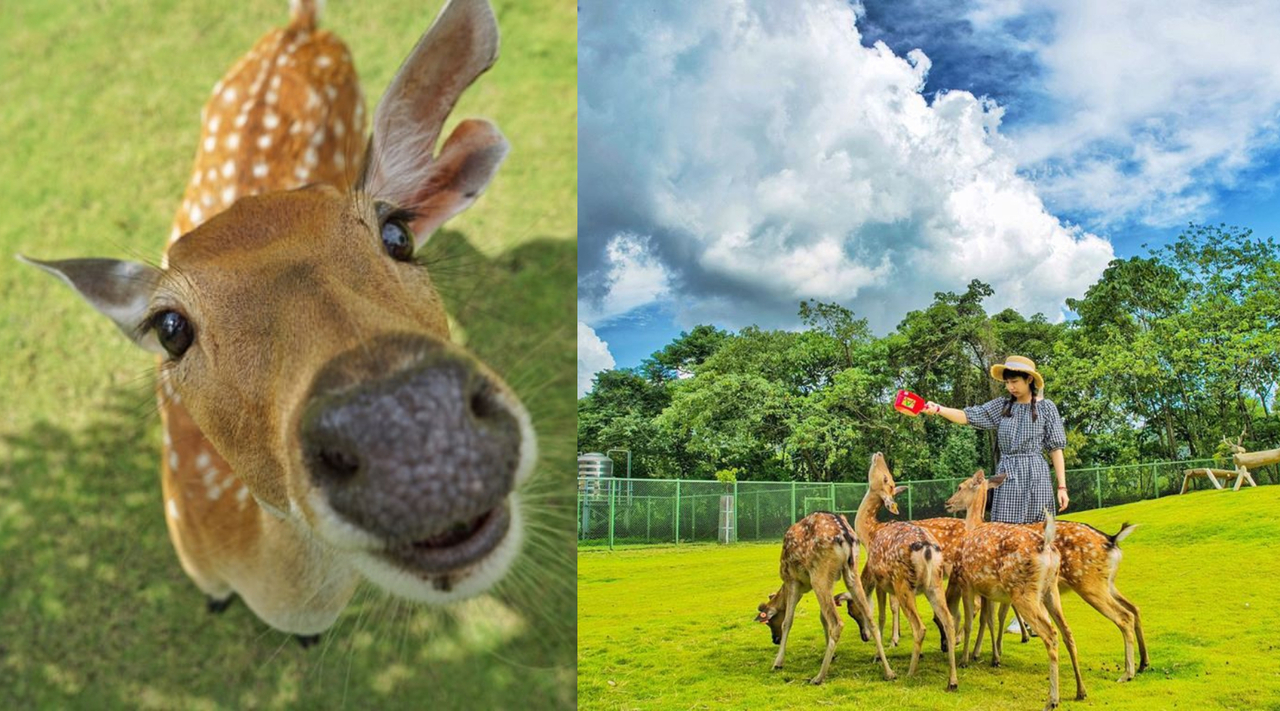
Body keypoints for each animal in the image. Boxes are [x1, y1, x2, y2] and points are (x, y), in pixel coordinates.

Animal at [752, 512, 896, 686]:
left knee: (837, 622)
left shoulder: (792, 580)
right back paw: (889, 672)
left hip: (819, 574)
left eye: (769, 622)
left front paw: (778, 663)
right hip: (851, 572)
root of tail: (845, 536)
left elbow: (788, 621)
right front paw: (832, 654)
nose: (775, 639)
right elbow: (822, 617)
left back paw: (818, 677)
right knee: (870, 618)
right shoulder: (831, 581)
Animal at [855, 453, 957, 691]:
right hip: (935, 584)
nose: (879, 454)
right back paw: (952, 680)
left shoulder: (880, 580)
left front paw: (878, 655)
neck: (869, 534)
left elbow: (881, 616)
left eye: (886, 479)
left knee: (920, 627)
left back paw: (910, 673)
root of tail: (927, 550)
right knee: (948, 621)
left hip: (904, 584)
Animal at [947, 471, 1085, 707]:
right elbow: (988, 620)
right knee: (1067, 632)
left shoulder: (968, 583)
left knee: (1051, 634)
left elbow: (969, 622)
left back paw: (1052, 699)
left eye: (960, 487)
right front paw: (987, 655)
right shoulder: (987, 590)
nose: (948, 503)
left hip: (1023, 592)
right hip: (1050, 590)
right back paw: (1080, 691)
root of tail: (1047, 547)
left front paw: (965, 658)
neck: (973, 526)